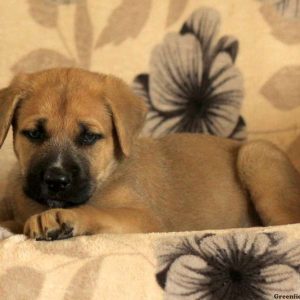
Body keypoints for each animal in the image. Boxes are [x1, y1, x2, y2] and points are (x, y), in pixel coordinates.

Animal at [0, 67, 300, 240]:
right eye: (34, 134)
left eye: (89, 136)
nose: (56, 181)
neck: (107, 174)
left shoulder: (145, 218)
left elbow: (99, 211)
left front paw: (62, 218)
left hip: (256, 155)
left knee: (285, 224)